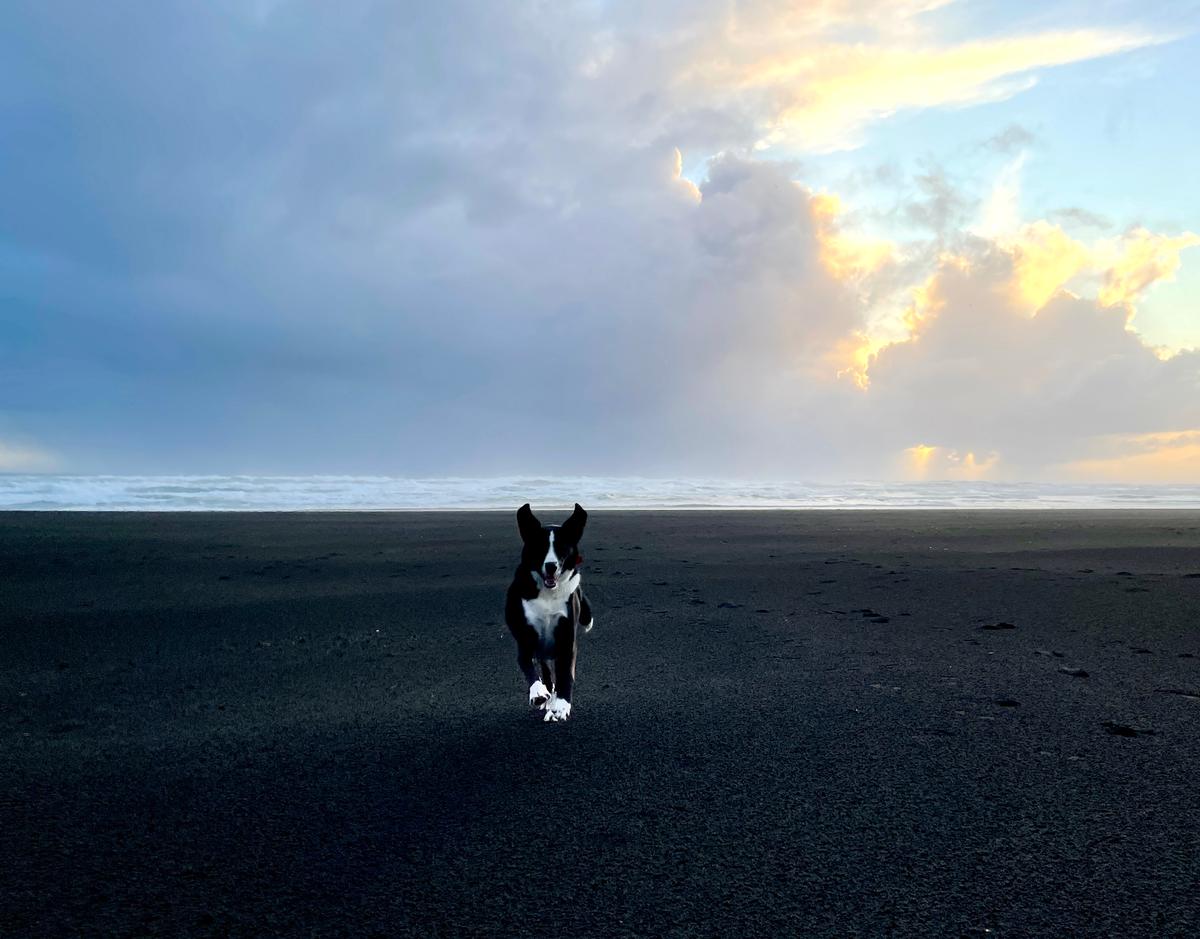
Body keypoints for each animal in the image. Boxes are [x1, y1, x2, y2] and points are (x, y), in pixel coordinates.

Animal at [504, 504, 592, 725]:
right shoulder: (525, 640)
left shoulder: (567, 639)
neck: (548, 593)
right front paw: (537, 693)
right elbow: (528, 666)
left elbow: (565, 675)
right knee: (544, 670)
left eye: (562, 547)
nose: (551, 566)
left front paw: (561, 705)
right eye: (540, 546)